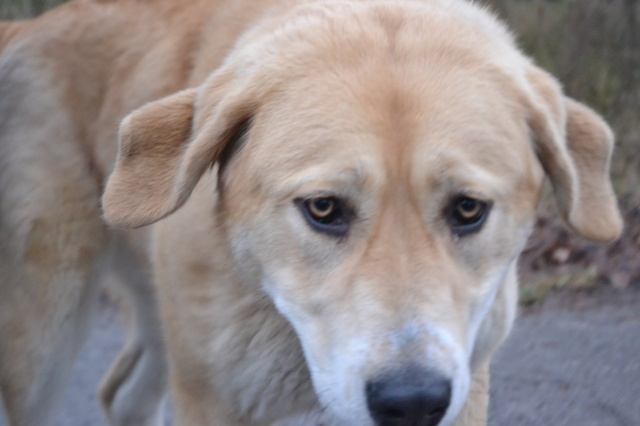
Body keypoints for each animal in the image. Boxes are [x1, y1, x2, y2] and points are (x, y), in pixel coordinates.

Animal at [0, 0, 622, 425]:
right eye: (323, 208)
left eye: (468, 209)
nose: (411, 403)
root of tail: (33, 28)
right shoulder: (212, 398)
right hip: (45, 343)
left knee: (123, 395)